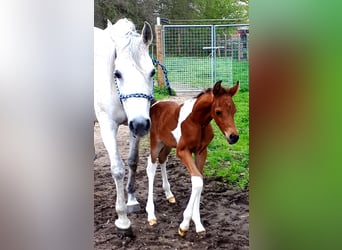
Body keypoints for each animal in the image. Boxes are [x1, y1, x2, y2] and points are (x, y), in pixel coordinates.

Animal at [93, 18, 153, 235]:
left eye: (152, 72)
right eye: (117, 74)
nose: (142, 125)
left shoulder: (134, 124)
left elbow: (133, 161)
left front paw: (132, 201)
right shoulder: (108, 126)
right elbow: (118, 169)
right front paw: (122, 219)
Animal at [146, 80, 239, 236]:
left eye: (234, 110)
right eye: (218, 111)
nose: (234, 137)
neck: (197, 122)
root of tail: (155, 104)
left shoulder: (201, 152)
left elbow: (200, 180)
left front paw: (198, 223)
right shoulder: (182, 151)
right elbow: (197, 181)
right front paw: (184, 225)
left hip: (168, 143)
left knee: (163, 159)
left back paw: (169, 194)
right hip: (156, 143)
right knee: (151, 167)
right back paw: (151, 214)